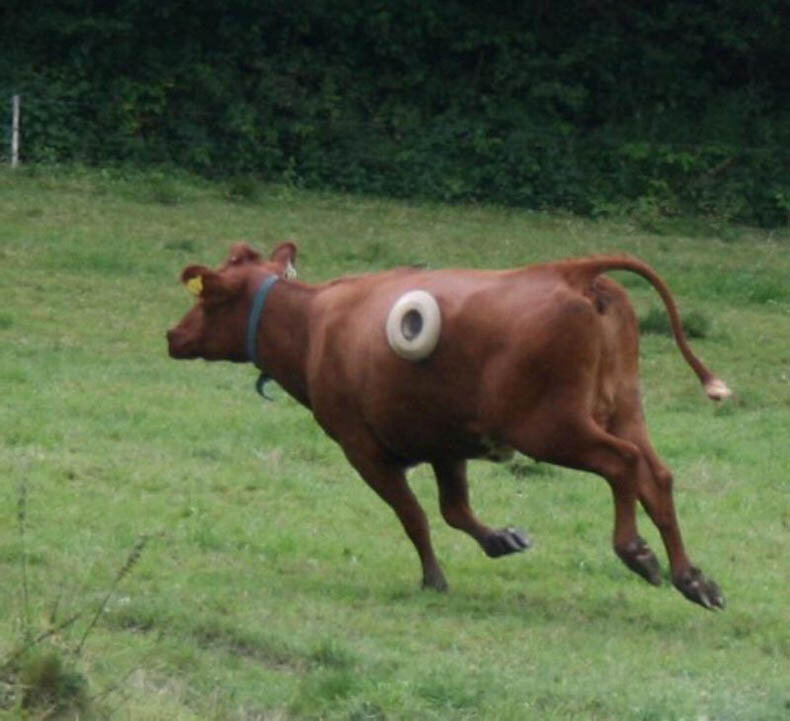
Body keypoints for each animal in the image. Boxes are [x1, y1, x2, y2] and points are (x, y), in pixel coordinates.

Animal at [166, 242, 731, 610]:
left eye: (206, 298)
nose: (173, 335)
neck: (313, 326)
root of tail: (567, 272)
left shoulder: (361, 447)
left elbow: (412, 514)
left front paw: (433, 577)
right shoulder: (446, 444)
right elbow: (454, 510)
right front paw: (501, 539)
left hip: (551, 427)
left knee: (622, 464)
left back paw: (636, 552)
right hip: (624, 408)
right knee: (656, 476)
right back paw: (692, 579)